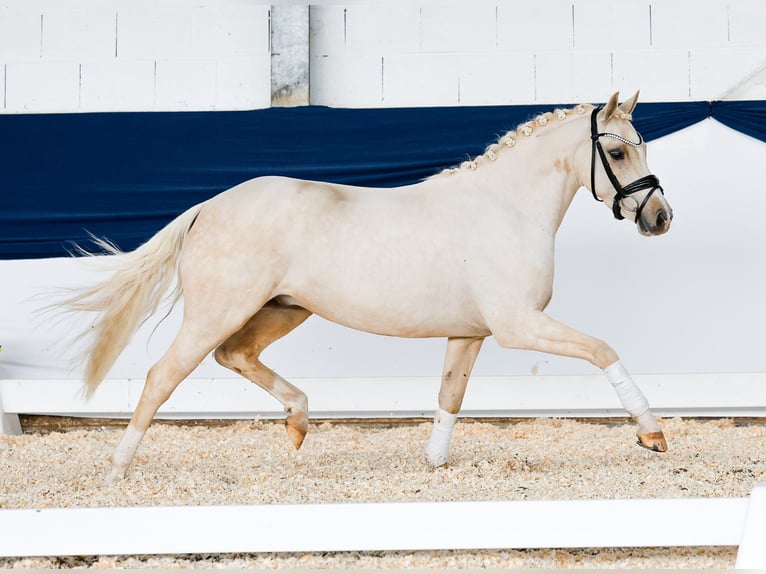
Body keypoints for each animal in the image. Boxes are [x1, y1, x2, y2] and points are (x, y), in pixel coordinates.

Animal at [64, 92, 672, 484]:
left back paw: (298, 423)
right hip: (219, 312)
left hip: (283, 310)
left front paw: (434, 463)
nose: (660, 217)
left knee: (234, 356)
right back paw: (117, 471)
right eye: (617, 152)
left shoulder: (469, 333)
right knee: (162, 376)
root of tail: (207, 207)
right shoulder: (518, 325)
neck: (507, 208)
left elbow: (450, 395)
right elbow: (603, 350)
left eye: (644, 145)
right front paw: (652, 434)